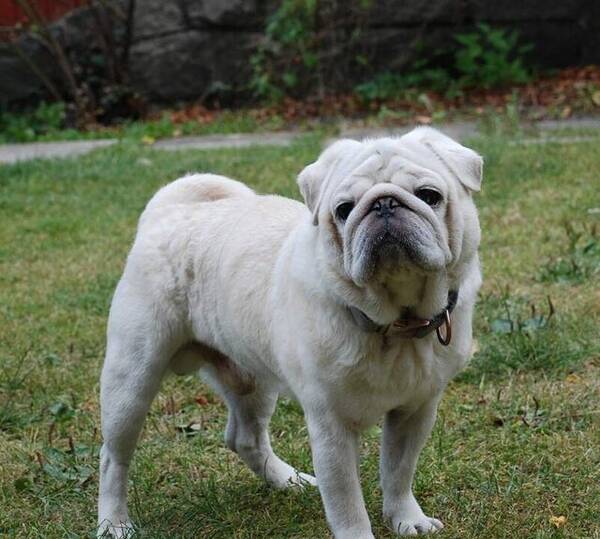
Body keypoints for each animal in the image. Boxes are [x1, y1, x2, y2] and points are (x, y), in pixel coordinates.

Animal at [97, 127, 483, 538]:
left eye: (429, 196)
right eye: (343, 210)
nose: (384, 204)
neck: (394, 323)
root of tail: (169, 211)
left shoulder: (414, 412)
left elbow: (398, 473)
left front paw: (406, 519)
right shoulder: (331, 428)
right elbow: (347, 503)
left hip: (251, 380)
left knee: (246, 439)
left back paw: (289, 481)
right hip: (132, 379)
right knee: (113, 458)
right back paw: (113, 523)